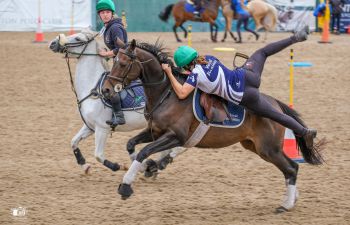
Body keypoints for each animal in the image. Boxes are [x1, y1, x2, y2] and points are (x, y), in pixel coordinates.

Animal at [49, 29, 186, 174]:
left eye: (78, 38)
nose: (53, 43)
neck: (92, 89)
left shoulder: (102, 128)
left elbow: (98, 155)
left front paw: (120, 166)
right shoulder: (90, 126)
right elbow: (73, 142)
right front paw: (85, 165)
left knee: (180, 147)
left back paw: (159, 164)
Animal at [107, 39, 326, 213]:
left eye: (123, 63)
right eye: (113, 60)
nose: (108, 89)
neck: (168, 93)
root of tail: (275, 104)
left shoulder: (175, 136)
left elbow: (144, 151)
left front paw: (126, 185)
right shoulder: (155, 131)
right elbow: (131, 145)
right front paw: (146, 168)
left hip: (268, 148)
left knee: (291, 168)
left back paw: (286, 203)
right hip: (257, 147)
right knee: (291, 167)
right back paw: (292, 198)